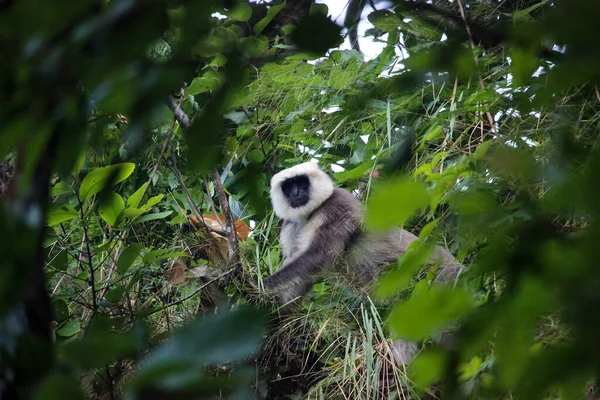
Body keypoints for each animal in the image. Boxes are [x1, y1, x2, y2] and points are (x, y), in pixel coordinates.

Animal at [262, 161, 464, 364]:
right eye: (288, 186)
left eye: (302, 182)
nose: (296, 193)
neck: (311, 213)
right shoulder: (290, 225)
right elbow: (304, 277)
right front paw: (280, 317)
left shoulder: (336, 206)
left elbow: (319, 257)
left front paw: (261, 286)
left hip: (440, 277)